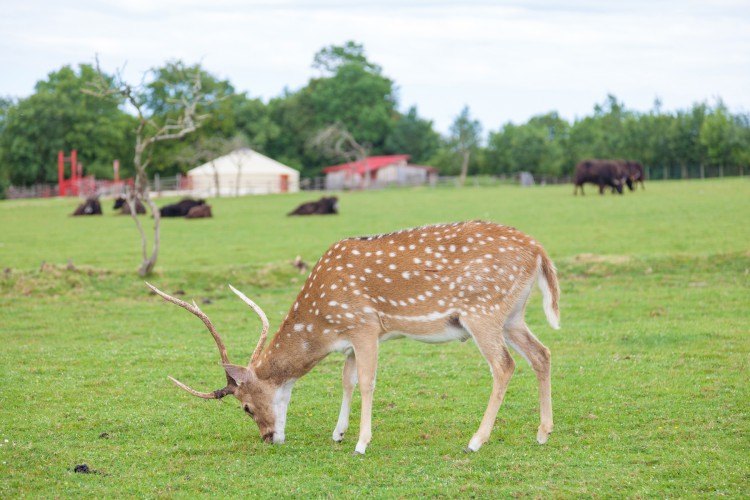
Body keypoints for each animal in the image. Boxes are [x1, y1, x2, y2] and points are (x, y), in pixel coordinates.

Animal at [148, 221, 560, 456]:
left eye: (246, 407)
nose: (268, 437)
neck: (322, 325)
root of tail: (540, 252)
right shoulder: (348, 340)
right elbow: (345, 380)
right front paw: (339, 433)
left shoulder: (365, 326)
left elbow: (366, 382)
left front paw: (362, 443)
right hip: (513, 315)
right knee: (542, 353)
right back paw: (542, 434)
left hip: (483, 311)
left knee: (504, 366)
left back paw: (476, 441)